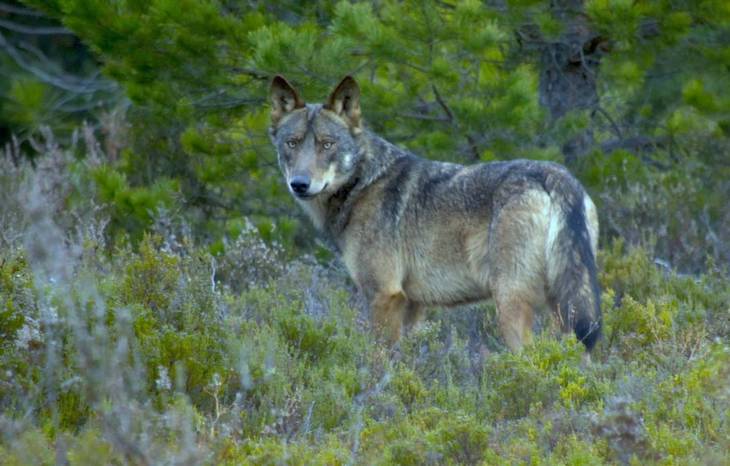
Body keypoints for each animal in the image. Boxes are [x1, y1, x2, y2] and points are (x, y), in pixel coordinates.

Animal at [268, 75, 602, 352]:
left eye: (327, 144)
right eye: (292, 143)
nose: (299, 184)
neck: (363, 183)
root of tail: (555, 175)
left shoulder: (383, 295)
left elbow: (376, 363)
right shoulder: (413, 305)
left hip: (511, 303)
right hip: (564, 309)